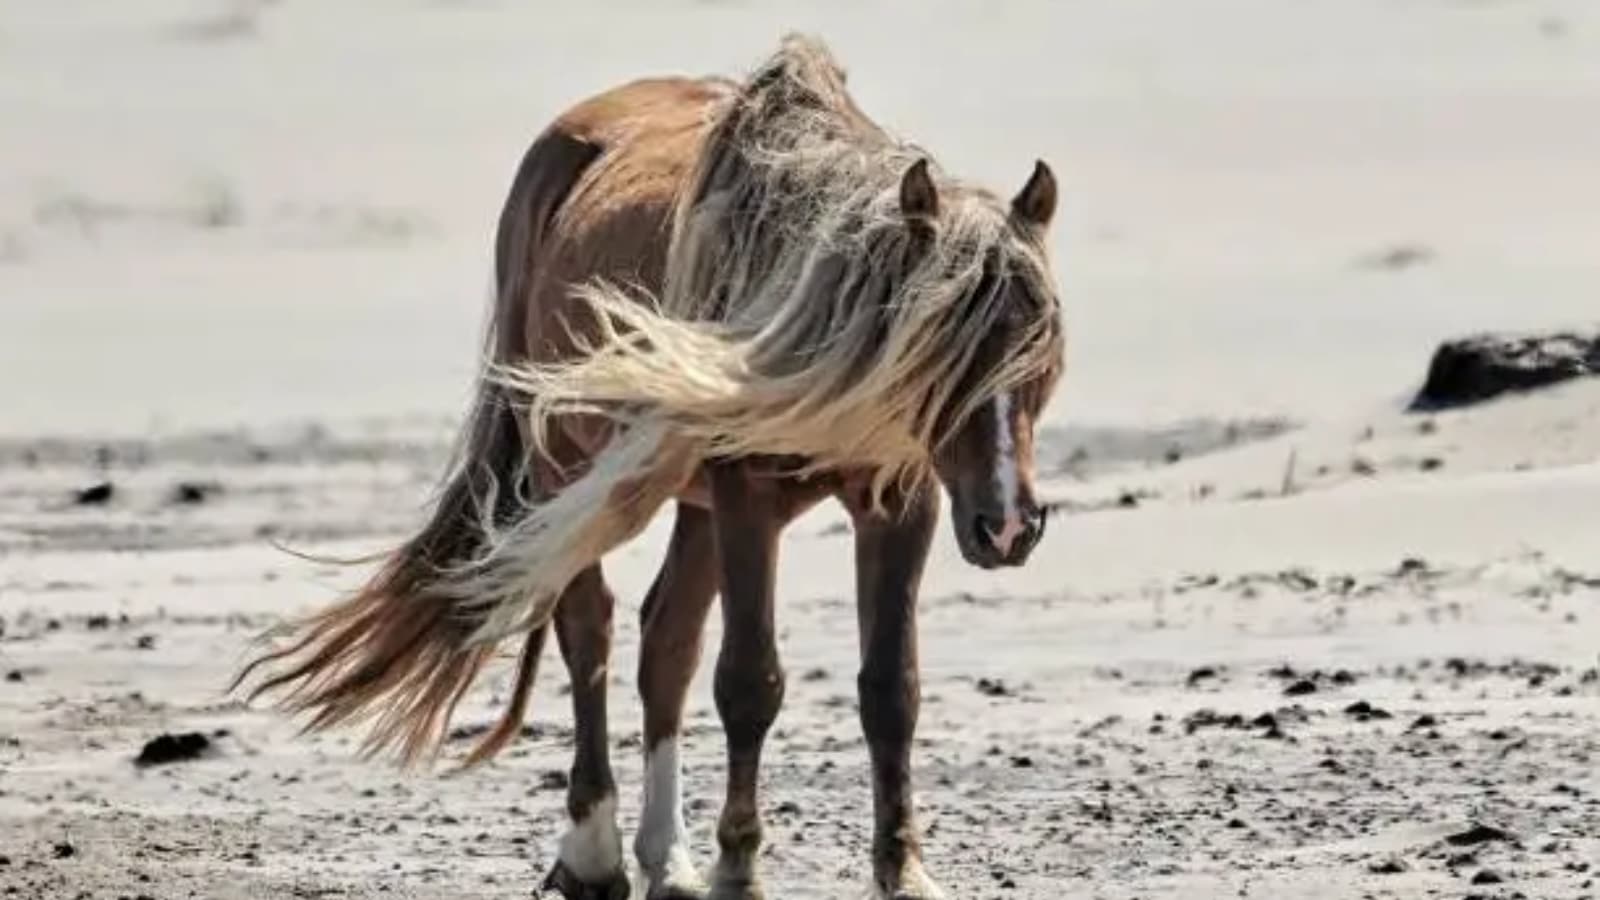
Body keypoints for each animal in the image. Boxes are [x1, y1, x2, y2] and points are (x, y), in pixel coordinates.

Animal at [234, 34, 1065, 900]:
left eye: (1042, 353)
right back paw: (594, 852)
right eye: (948, 357)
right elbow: (749, 681)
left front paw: (903, 870)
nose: (1009, 526)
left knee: (668, 642)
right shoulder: (746, 496)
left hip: (691, 505)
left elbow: (890, 690)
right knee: (589, 629)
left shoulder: (900, 503)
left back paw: (668, 856)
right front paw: (740, 866)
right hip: (569, 474)